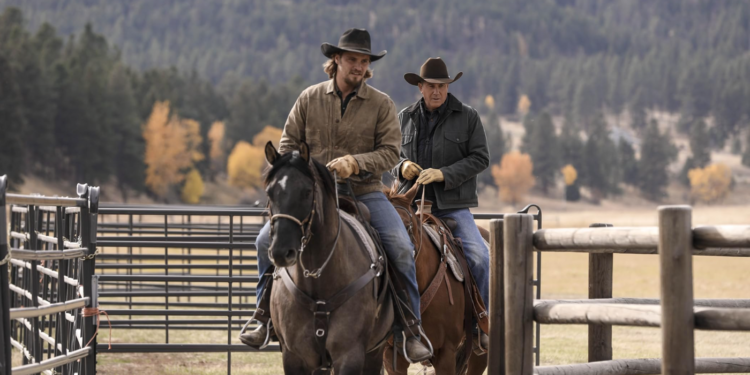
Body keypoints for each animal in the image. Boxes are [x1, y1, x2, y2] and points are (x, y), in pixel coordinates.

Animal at [264, 142, 394, 374]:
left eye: (307, 192)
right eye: (270, 193)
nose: (281, 252)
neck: (318, 277)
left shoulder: (349, 355)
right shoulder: (294, 356)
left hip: (374, 353)